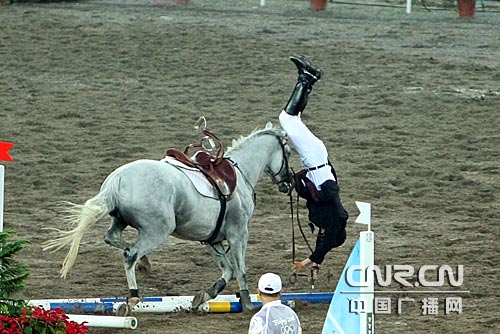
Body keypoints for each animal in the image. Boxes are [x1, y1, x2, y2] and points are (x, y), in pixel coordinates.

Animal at [44, 122, 292, 314]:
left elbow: (228, 270)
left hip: (121, 221)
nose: (288, 183)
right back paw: (132, 297)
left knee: (113, 239)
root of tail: (118, 179)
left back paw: (144, 264)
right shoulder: (238, 234)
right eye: (289, 153)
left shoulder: (212, 239)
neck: (239, 175)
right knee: (129, 255)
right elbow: (240, 270)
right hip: (158, 230)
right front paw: (248, 303)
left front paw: (203, 296)